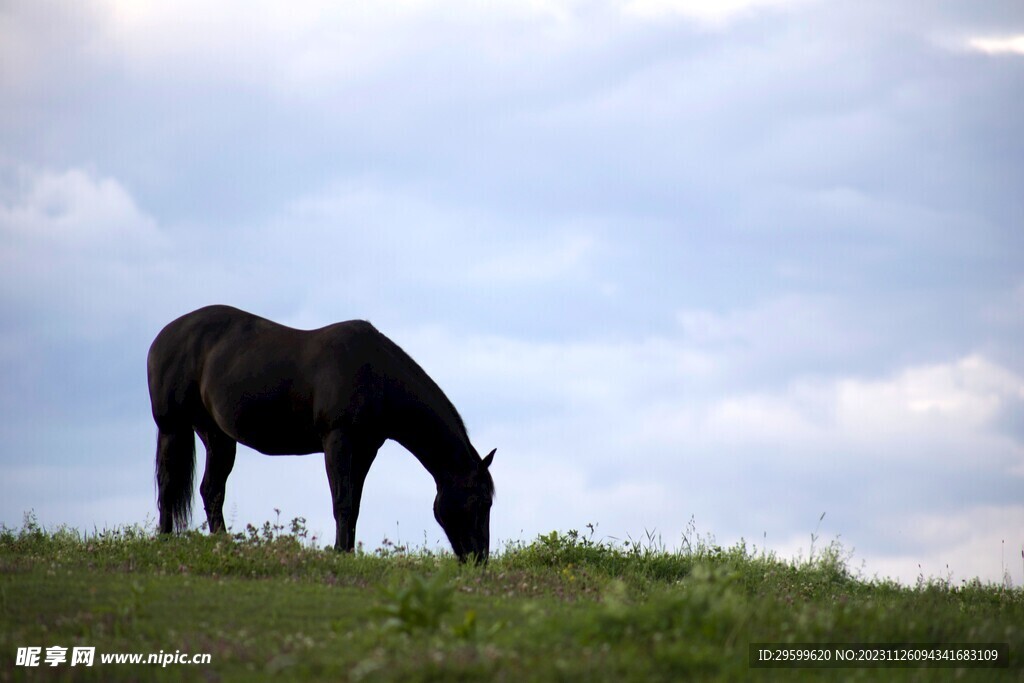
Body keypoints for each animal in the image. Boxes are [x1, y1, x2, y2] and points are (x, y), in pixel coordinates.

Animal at [146, 307, 493, 565]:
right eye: (480, 501)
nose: (479, 559)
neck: (375, 374)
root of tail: (163, 337)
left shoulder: (365, 449)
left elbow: (354, 503)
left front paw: (348, 552)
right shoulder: (338, 441)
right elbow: (342, 500)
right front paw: (340, 553)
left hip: (216, 436)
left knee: (210, 490)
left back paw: (223, 543)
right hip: (173, 428)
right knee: (169, 483)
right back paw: (165, 539)